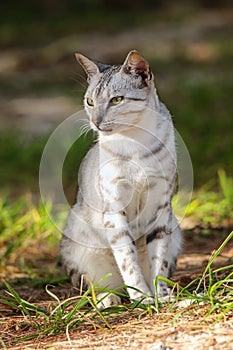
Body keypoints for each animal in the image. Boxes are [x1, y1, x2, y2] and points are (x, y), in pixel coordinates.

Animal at [59, 50, 181, 308]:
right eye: (90, 102)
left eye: (116, 100)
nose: (95, 122)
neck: (134, 142)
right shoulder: (114, 208)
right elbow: (127, 259)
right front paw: (141, 297)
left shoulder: (161, 206)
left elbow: (159, 260)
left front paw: (160, 295)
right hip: (78, 244)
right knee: (97, 282)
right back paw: (110, 298)